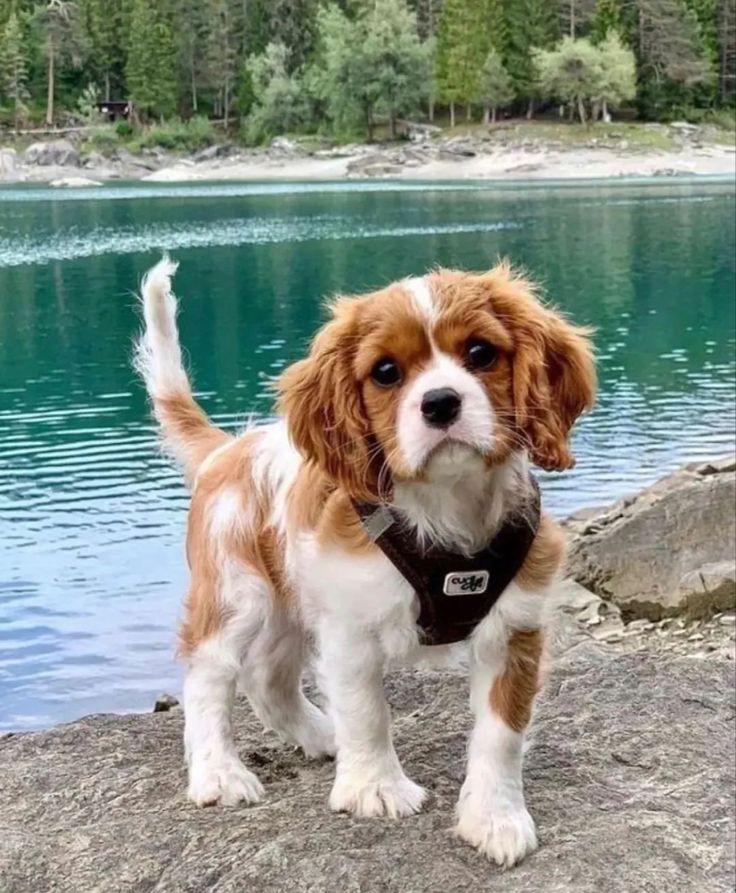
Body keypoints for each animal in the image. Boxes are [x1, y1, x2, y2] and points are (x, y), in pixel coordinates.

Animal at [135, 256, 596, 864]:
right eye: (385, 372)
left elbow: (502, 733)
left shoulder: (515, 628)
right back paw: (219, 774)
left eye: (480, 353)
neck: (442, 508)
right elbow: (366, 709)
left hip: (289, 601)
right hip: (237, 591)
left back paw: (320, 736)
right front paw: (376, 788)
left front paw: (495, 817)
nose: (440, 402)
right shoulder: (349, 622)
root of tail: (228, 449)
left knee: (268, 678)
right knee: (209, 676)